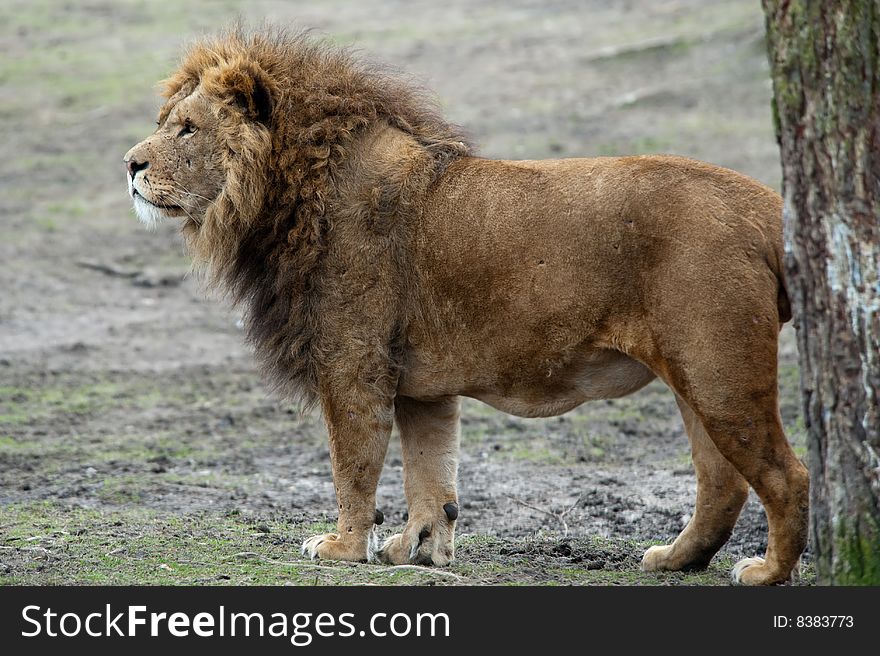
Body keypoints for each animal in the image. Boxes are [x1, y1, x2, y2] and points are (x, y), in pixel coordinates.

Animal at [124, 28, 812, 588]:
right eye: (166, 120)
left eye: (187, 128)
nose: (130, 164)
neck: (284, 196)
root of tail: (765, 203)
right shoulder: (421, 386)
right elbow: (431, 475)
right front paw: (418, 550)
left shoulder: (353, 365)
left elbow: (355, 464)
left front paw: (344, 548)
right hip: (696, 374)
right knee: (721, 481)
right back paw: (675, 559)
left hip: (719, 371)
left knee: (788, 475)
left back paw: (766, 572)